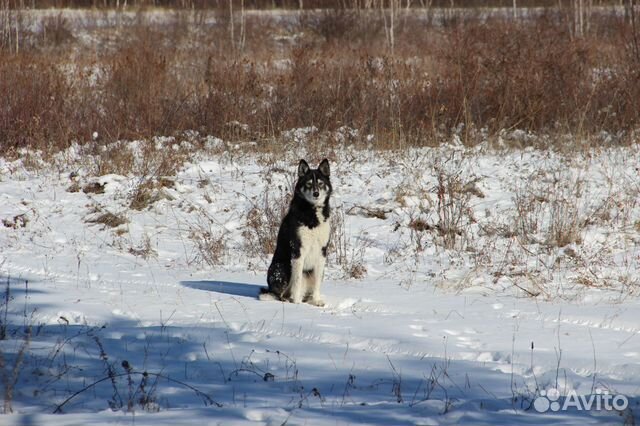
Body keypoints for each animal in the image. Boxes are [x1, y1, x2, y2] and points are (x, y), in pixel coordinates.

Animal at [258, 158, 332, 304]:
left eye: (321, 183)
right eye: (309, 183)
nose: (316, 193)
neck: (312, 213)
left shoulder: (322, 252)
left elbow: (317, 283)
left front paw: (316, 300)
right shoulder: (298, 250)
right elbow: (297, 281)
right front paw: (297, 303)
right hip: (282, 268)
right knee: (279, 293)